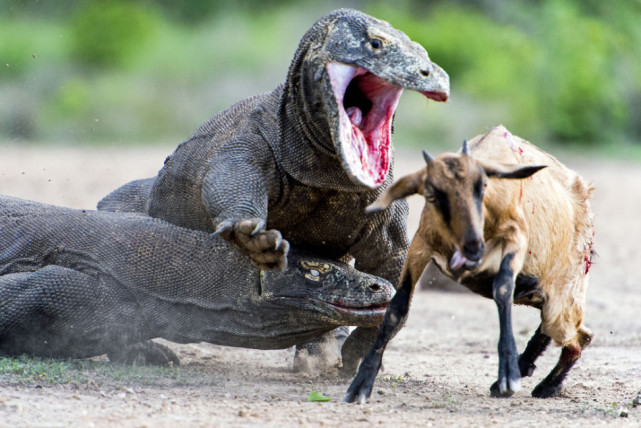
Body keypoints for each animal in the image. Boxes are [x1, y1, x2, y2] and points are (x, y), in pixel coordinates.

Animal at [348, 125, 592, 402]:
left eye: (483, 185)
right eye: (431, 194)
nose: (473, 246)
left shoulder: (515, 235)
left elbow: (502, 288)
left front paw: (508, 374)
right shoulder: (421, 244)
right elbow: (397, 307)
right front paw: (361, 384)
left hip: (565, 293)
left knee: (578, 337)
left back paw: (546, 385)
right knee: (566, 332)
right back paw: (526, 370)